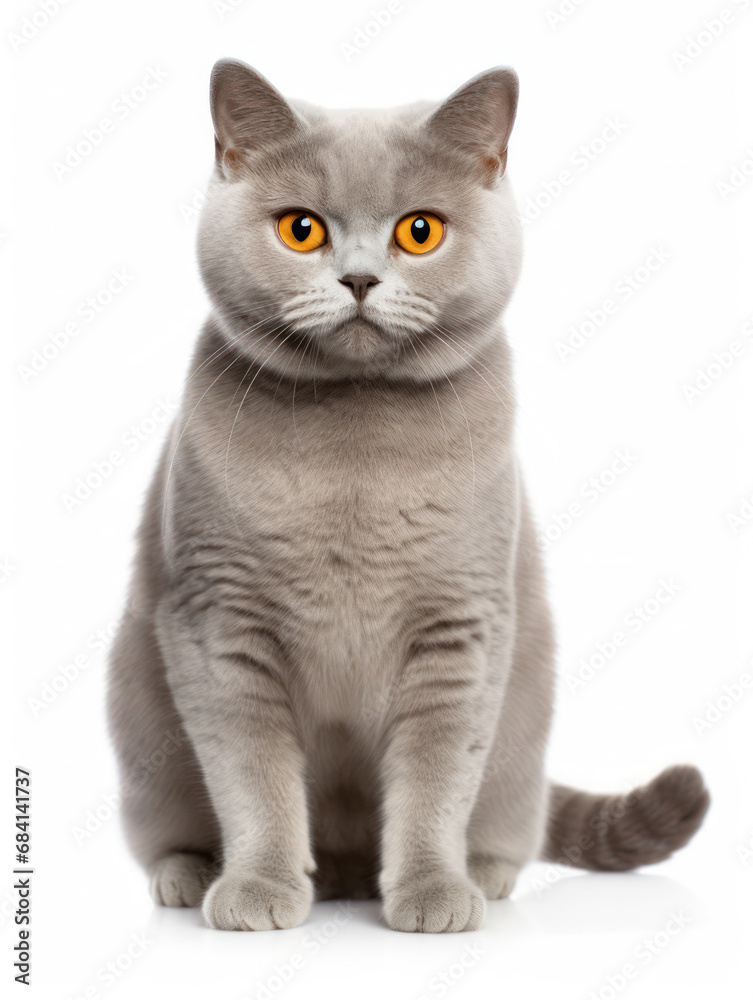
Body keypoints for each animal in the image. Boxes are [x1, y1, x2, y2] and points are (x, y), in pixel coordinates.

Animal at [107, 60, 712, 936]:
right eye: (301, 230)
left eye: (419, 231)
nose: (359, 278)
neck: (357, 461)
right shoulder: (220, 624)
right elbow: (252, 777)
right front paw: (257, 887)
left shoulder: (459, 630)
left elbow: (434, 781)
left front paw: (431, 891)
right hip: (139, 719)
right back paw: (190, 875)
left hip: (523, 724)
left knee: (504, 816)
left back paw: (481, 873)